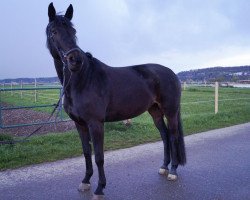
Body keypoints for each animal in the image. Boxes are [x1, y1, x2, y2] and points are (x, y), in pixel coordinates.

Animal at [46, 2, 186, 199]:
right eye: (54, 31)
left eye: (73, 32)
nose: (75, 60)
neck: (83, 80)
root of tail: (172, 73)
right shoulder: (80, 124)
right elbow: (86, 153)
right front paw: (85, 182)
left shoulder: (96, 123)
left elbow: (99, 156)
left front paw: (100, 188)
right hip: (155, 112)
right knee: (165, 135)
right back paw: (164, 167)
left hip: (171, 112)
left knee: (173, 136)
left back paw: (173, 171)